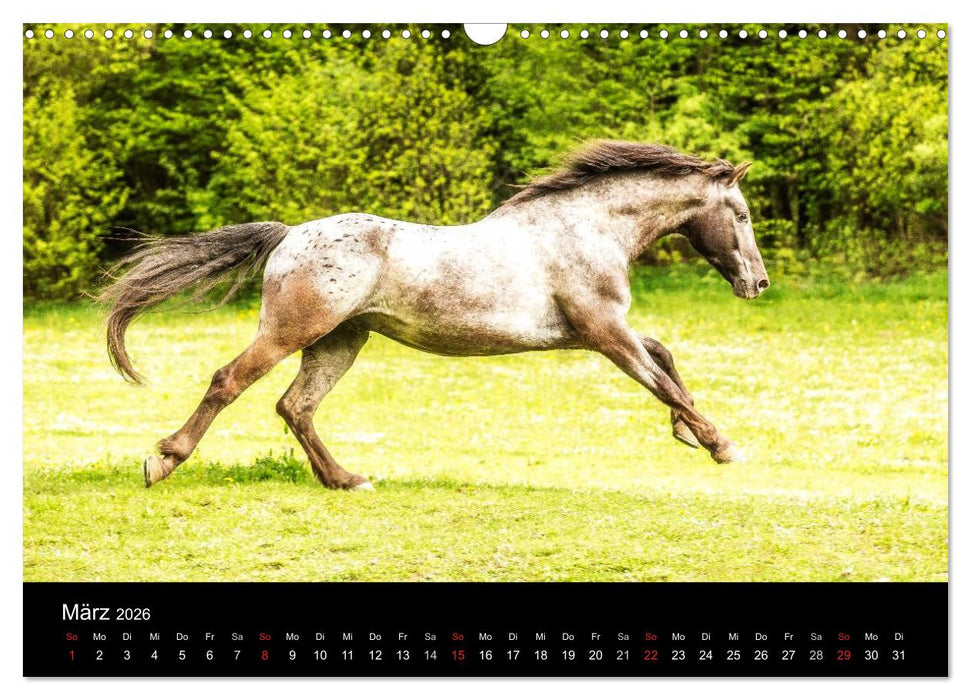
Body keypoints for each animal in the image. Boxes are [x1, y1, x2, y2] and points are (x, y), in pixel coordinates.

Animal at [101, 141, 769, 491]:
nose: (757, 283)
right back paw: (162, 460)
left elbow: (665, 359)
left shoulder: (599, 332)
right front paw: (722, 445)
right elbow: (662, 380)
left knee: (296, 407)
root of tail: (289, 236)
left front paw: (689, 434)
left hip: (340, 340)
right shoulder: (604, 333)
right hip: (294, 331)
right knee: (230, 382)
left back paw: (346, 480)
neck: (585, 229)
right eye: (738, 213)